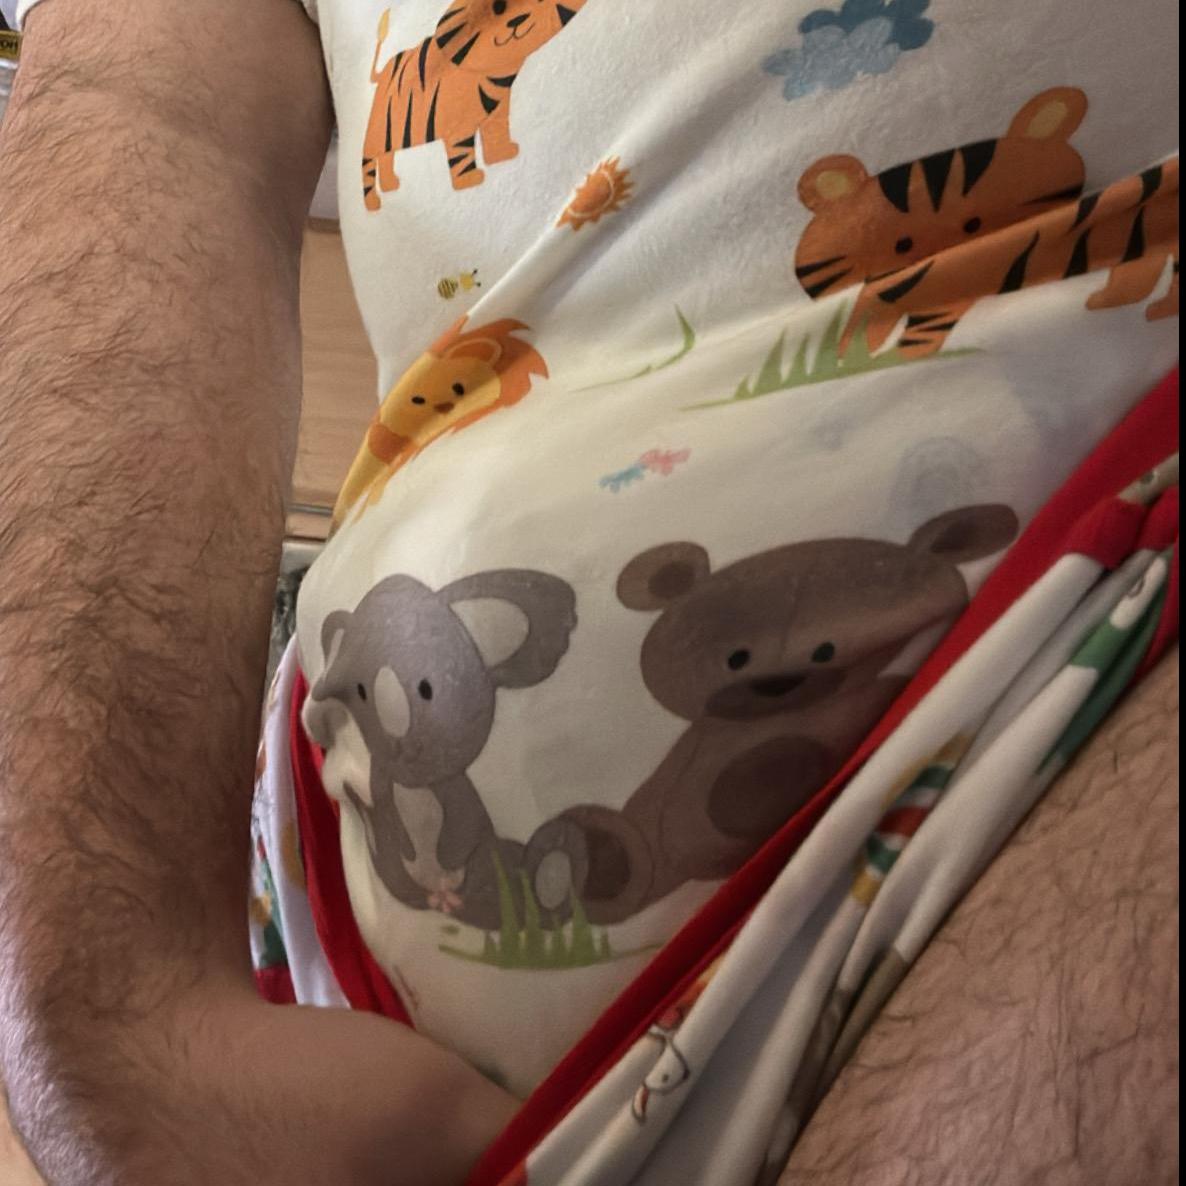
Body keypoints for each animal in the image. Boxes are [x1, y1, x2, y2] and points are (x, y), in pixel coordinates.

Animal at [362, 0, 589, 209]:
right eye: (498, 7)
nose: (517, 21)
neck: (495, 74)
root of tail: (382, 73)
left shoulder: (497, 112)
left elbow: (496, 134)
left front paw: (503, 154)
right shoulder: (457, 122)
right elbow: (461, 153)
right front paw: (468, 180)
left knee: (386, 158)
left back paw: (391, 185)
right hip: (376, 130)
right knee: (369, 163)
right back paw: (373, 201)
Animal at [525, 503, 1020, 926]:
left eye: (825, 650)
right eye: (736, 658)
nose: (777, 682)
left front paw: (762, 772)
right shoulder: (688, 750)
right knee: (640, 864)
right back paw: (602, 851)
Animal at [794, 87, 1179, 360]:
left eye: (974, 224)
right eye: (901, 245)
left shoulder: (939, 298)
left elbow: (914, 335)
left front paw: (876, 357)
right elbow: (862, 325)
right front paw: (853, 355)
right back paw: (1110, 301)